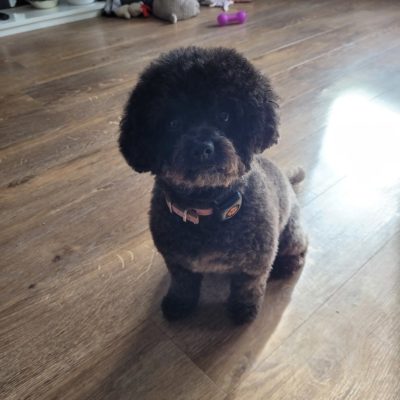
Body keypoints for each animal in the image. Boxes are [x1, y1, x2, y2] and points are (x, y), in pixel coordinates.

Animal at [119, 47, 306, 324]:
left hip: (291, 233)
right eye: (173, 123)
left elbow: (247, 287)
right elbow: (183, 284)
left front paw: (244, 310)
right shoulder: (176, 262)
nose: (202, 148)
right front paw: (179, 303)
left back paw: (286, 265)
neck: (205, 206)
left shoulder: (254, 264)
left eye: (224, 116)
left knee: (301, 248)